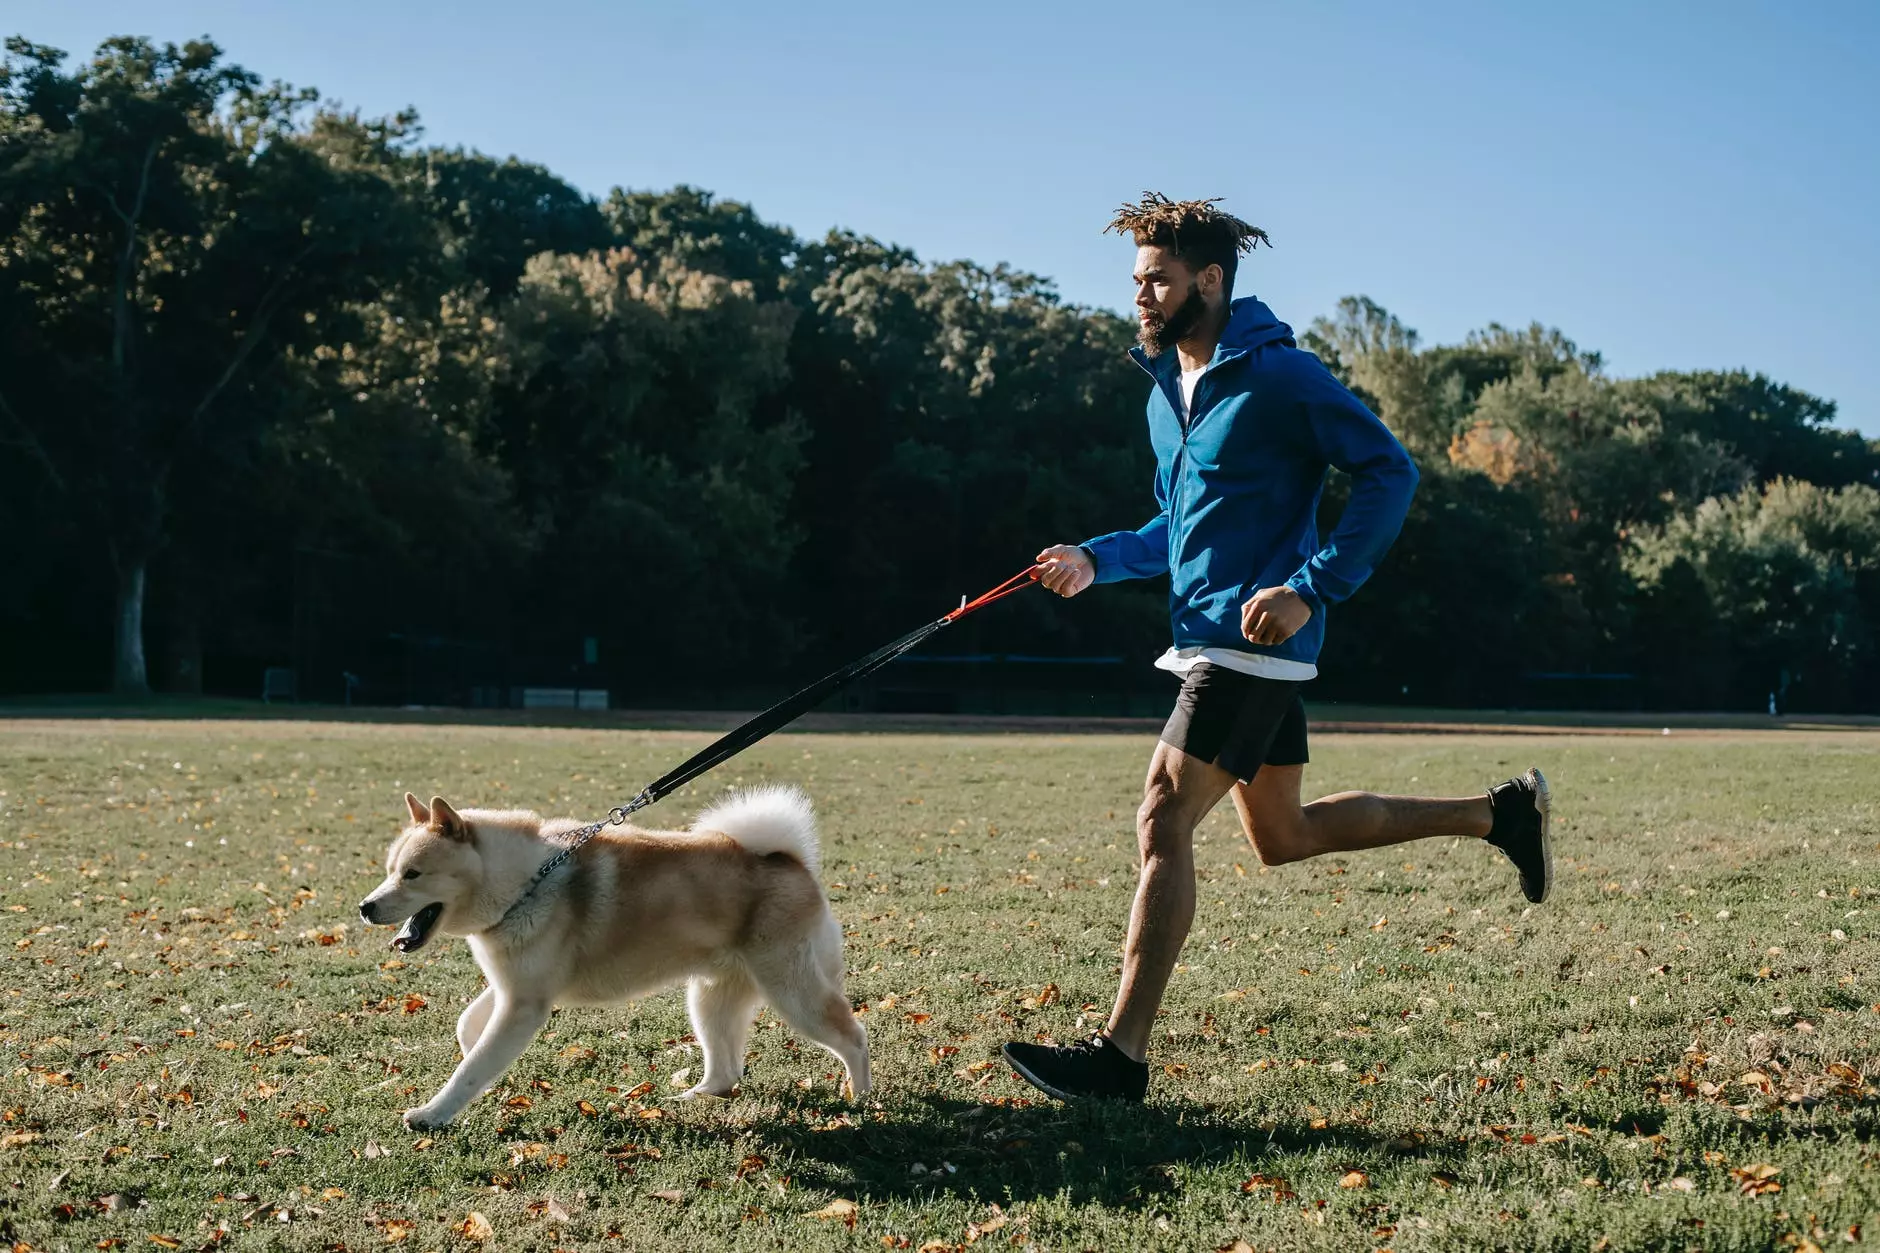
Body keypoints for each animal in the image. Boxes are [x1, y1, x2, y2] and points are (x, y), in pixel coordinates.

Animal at [355, 786, 868, 1128]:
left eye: (412, 874)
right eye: (390, 871)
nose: (365, 907)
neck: (525, 882)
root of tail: (791, 861)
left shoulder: (525, 1005)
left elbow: (470, 1070)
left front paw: (432, 1114)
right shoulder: (513, 989)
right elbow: (469, 1032)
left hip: (793, 993)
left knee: (854, 1037)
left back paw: (862, 1100)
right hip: (710, 1000)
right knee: (726, 1072)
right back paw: (692, 1098)